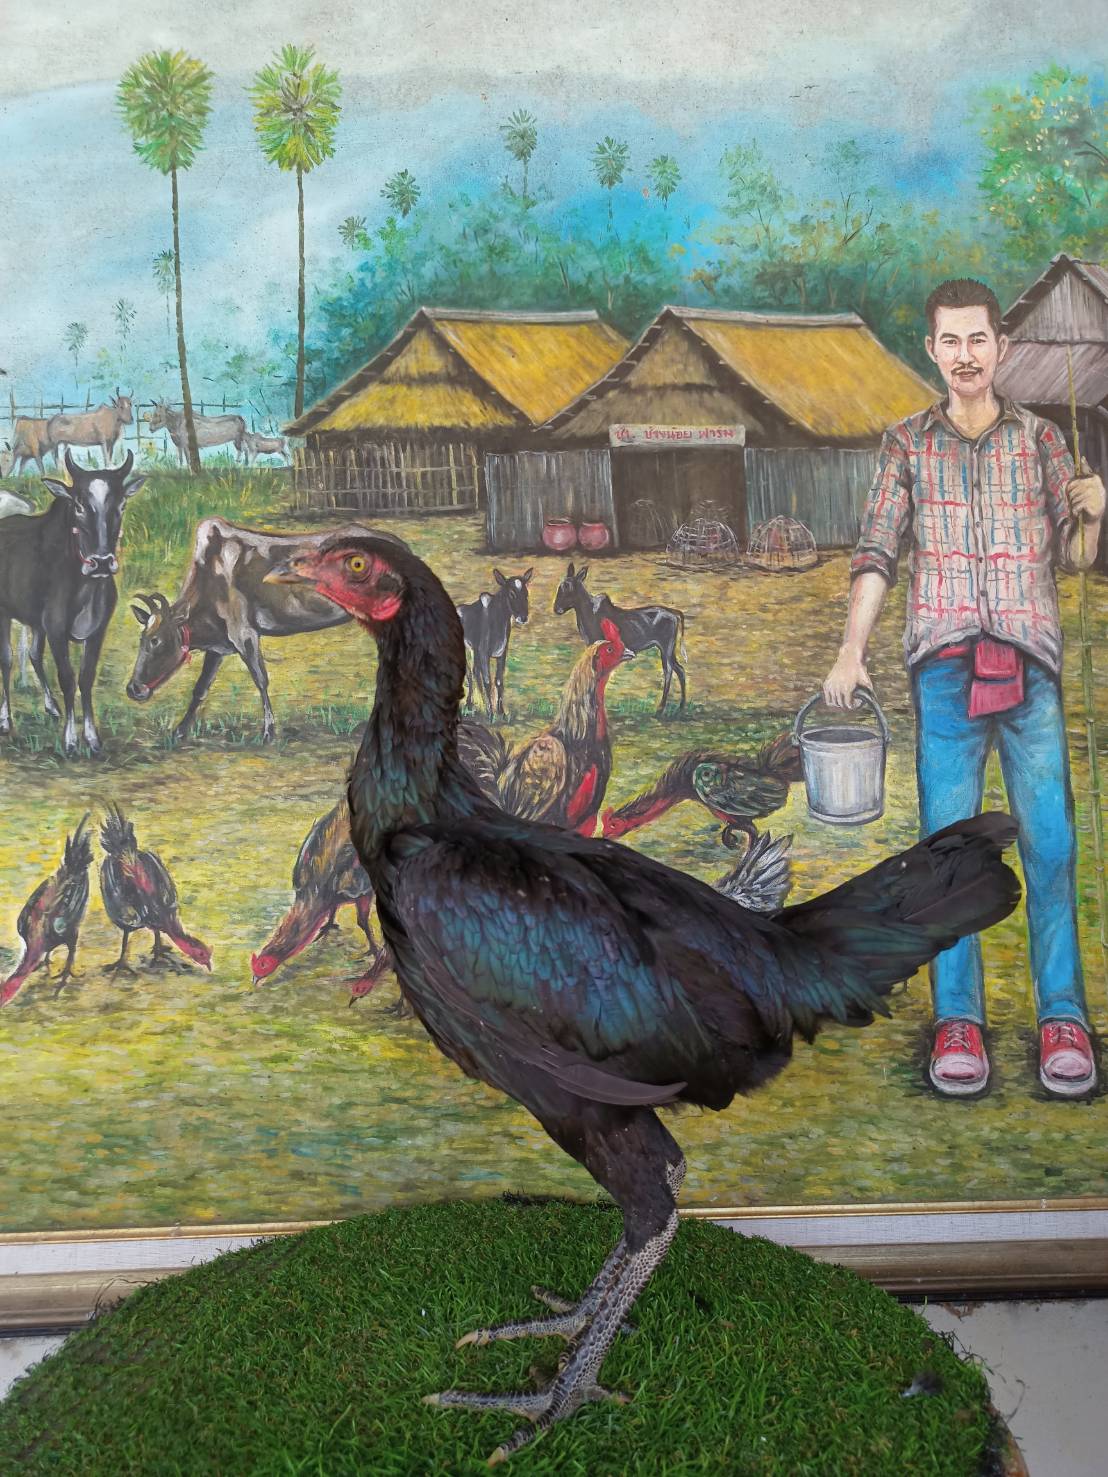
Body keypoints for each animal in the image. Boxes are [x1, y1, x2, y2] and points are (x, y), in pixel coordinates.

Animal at [0, 450, 147, 756]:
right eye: (79, 504)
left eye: (122, 504)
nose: (101, 562)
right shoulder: (56, 629)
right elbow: (67, 678)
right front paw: (70, 739)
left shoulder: (97, 630)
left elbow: (86, 677)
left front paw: (92, 737)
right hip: (4, 613)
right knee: (6, 659)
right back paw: (6, 719)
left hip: (36, 622)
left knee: (33, 654)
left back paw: (51, 707)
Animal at [125, 519, 409, 743]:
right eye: (141, 639)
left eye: (156, 641)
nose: (133, 689)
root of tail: (400, 544)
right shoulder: (219, 647)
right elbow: (200, 688)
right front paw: (180, 731)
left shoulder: (245, 635)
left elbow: (261, 680)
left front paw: (269, 732)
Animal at [456, 567, 532, 718]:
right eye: (511, 594)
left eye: (526, 593)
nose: (523, 617)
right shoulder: (484, 653)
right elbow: (487, 681)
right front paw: (491, 713)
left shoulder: (502, 652)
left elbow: (498, 681)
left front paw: (501, 712)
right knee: (469, 673)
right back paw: (469, 704)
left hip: (474, 651)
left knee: (475, 671)